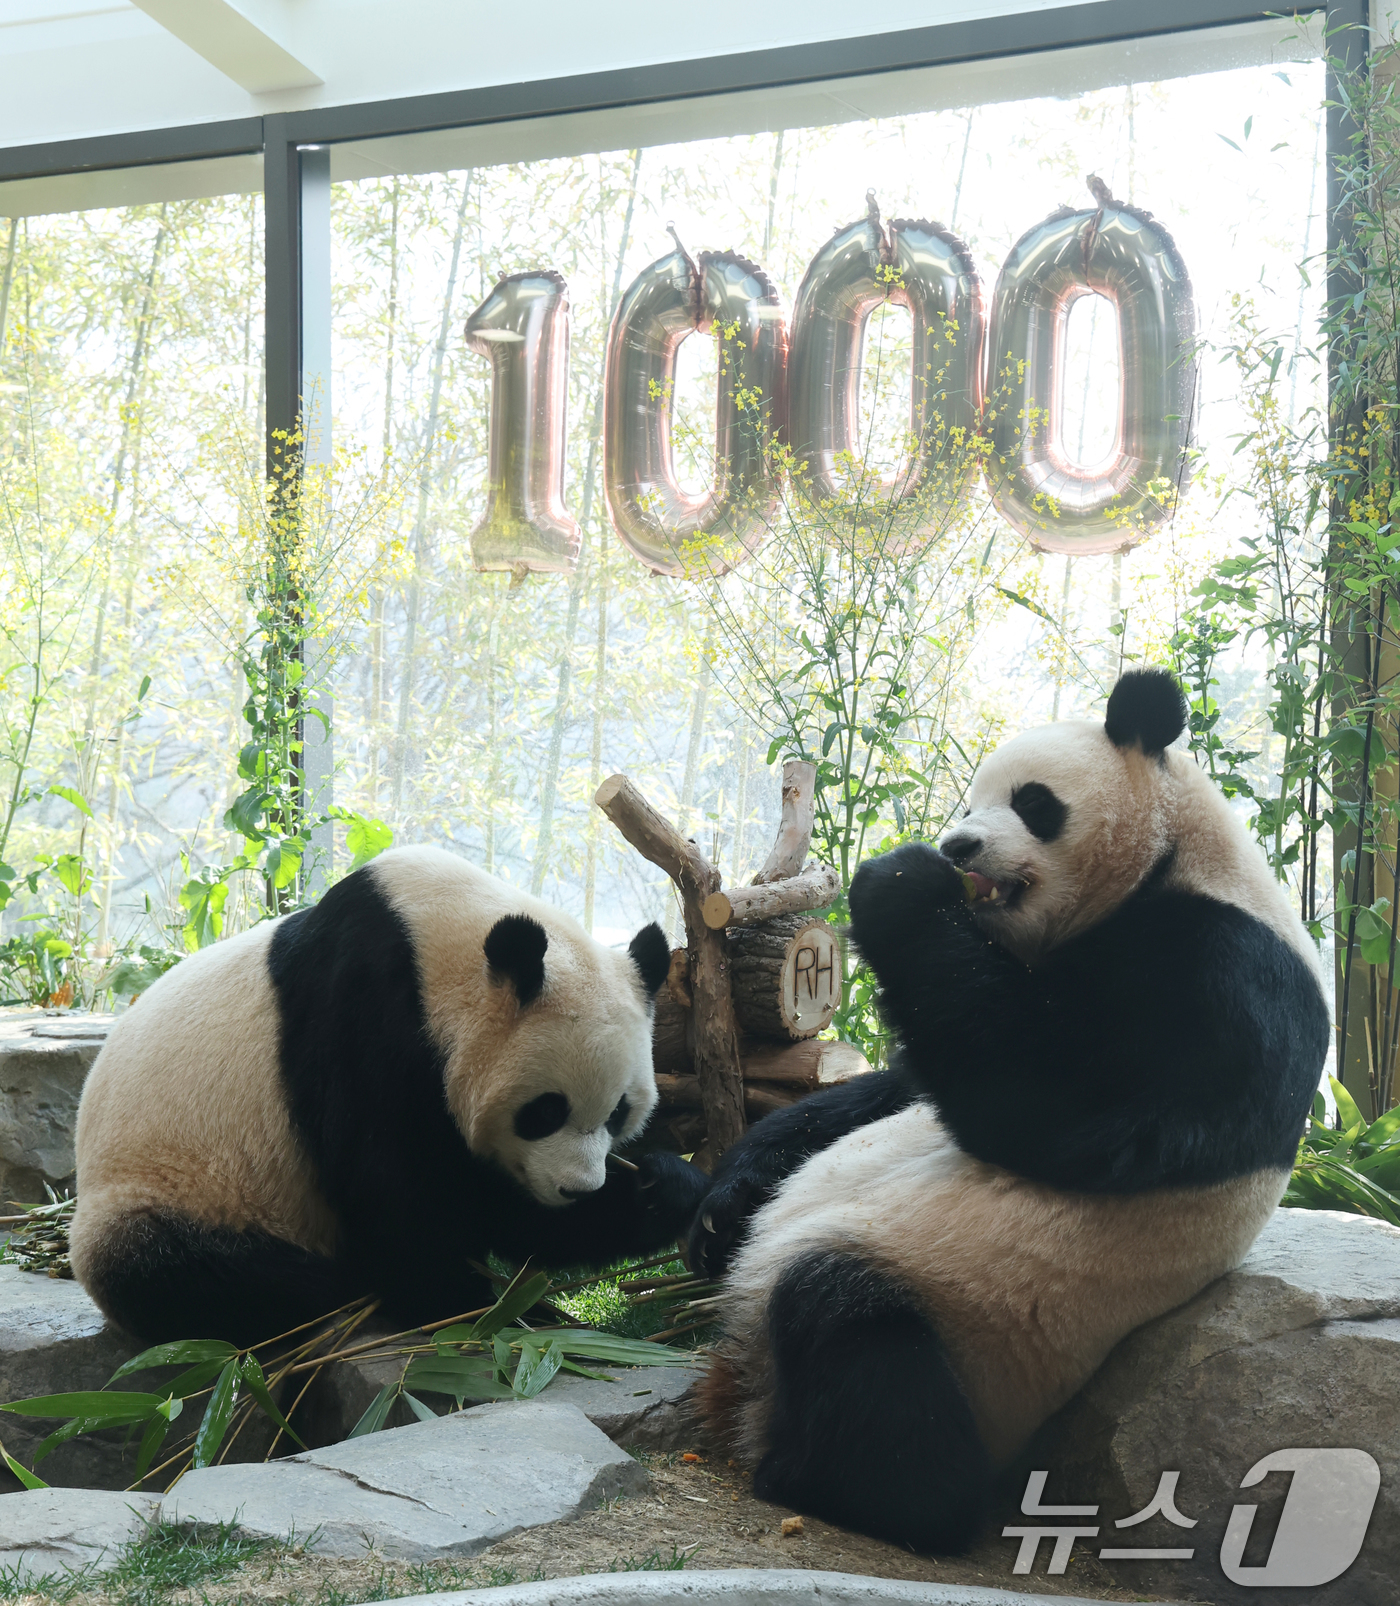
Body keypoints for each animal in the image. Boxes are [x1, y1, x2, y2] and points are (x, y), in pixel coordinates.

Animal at [70, 846, 708, 1344]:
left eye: (619, 1113)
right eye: (545, 1111)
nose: (576, 1189)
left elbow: (500, 1210)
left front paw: (665, 1188)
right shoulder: (363, 1015)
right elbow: (393, 1187)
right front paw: (461, 1302)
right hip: (170, 1192)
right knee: (193, 1272)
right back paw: (340, 1286)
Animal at [687, 668, 1328, 1554]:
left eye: (1032, 802)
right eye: (967, 802)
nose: (959, 848)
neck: (1169, 864)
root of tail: (749, 1391)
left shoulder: (1225, 979)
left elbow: (1051, 1105)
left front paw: (899, 881)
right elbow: (909, 1081)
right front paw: (720, 1206)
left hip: (972, 1322)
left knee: (853, 1328)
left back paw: (837, 1484)